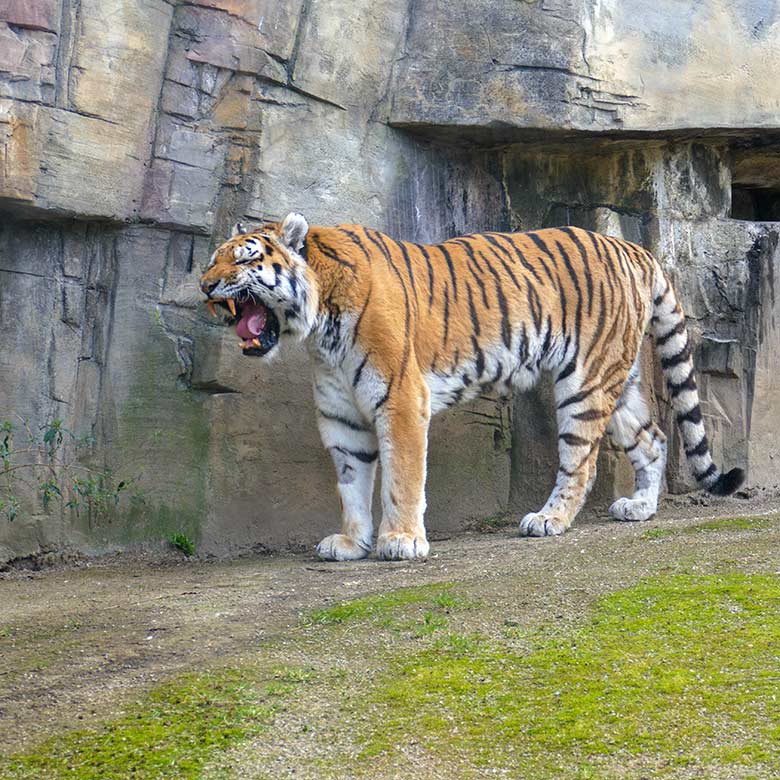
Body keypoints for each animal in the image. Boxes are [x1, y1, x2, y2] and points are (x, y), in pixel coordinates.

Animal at [200, 213, 744, 560]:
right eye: (211, 261)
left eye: (244, 261)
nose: (205, 287)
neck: (319, 326)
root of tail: (634, 248)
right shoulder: (341, 415)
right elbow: (351, 483)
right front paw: (352, 544)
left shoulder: (400, 399)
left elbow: (401, 478)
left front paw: (401, 541)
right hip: (619, 376)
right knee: (653, 439)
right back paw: (640, 508)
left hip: (585, 381)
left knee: (581, 461)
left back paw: (549, 519)